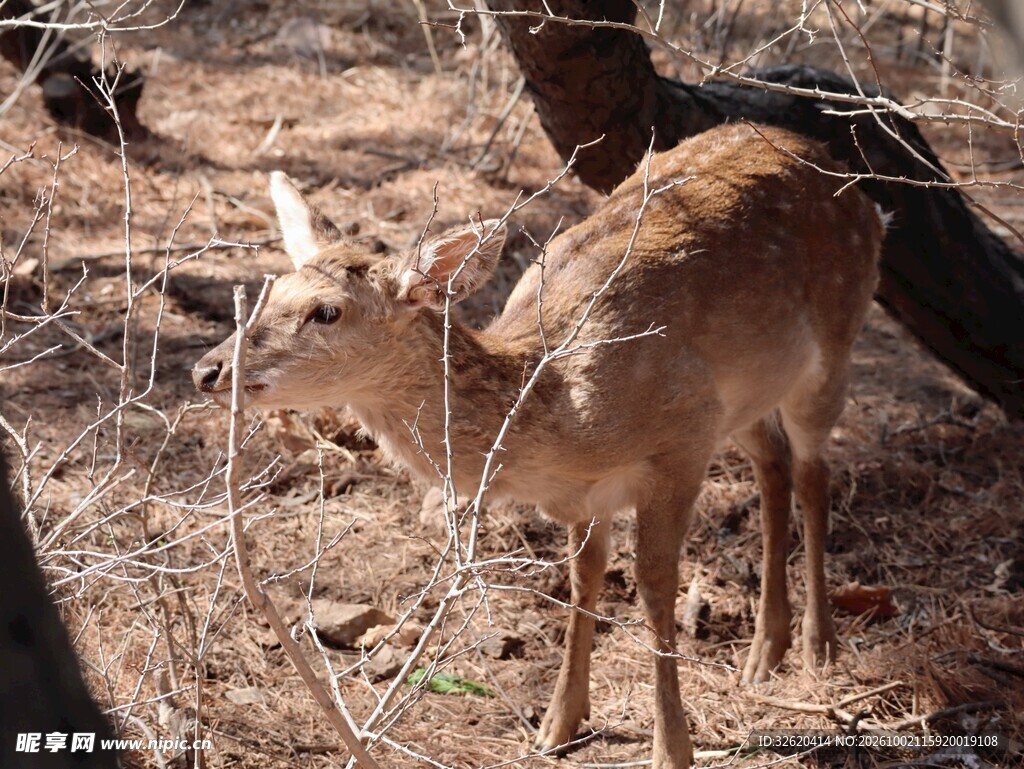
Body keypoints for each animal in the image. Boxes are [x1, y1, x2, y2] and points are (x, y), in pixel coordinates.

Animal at [193, 122, 884, 768]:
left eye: (327, 312)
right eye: (272, 291)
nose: (206, 369)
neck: (564, 416)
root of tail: (857, 189)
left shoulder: (683, 438)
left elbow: (655, 587)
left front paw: (673, 749)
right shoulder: (594, 490)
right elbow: (584, 577)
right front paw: (558, 723)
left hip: (833, 343)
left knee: (814, 470)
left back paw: (818, 645)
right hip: (746, 394)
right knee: (774, 465)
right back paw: (766, 650)